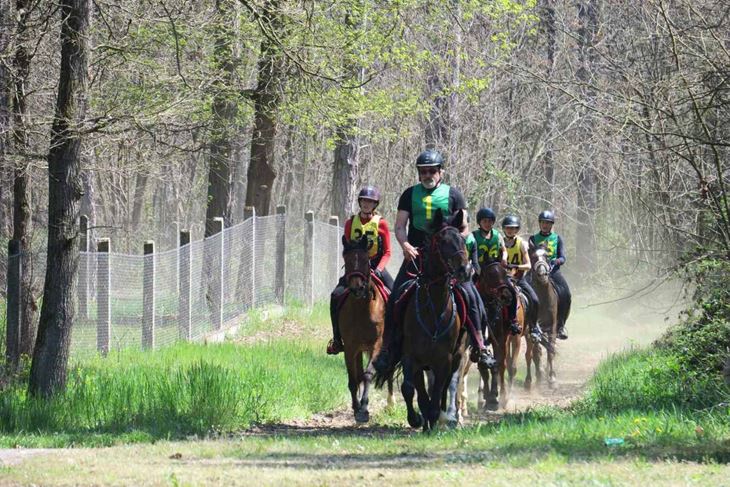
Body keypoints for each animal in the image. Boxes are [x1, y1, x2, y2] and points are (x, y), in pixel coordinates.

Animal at [336, 236, 392, 424]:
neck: (362, 309)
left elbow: (368, 375)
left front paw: (364, 409)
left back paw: (391, 404)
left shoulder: (377, 345)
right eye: (346, 260)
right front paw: (356, 408)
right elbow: (353, 378)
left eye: (365, 260)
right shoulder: (351, 347)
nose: (357, 288)